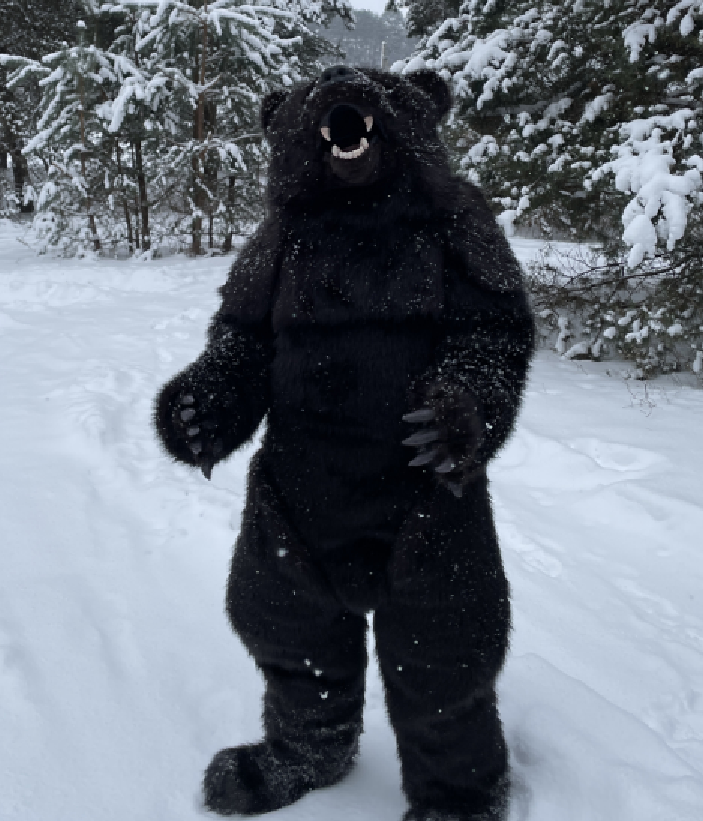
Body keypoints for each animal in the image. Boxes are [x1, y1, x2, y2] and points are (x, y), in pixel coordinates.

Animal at [154, 65, 535, 821]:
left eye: (388, 85)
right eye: (306, 90)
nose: (342, 77)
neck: (358, 211)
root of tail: (357, 579)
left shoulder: (466, 232)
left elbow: (489, 325)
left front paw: (441, 422)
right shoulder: (271, 247)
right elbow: (244, 333)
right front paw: (191, 414)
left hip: (437, 534)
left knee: (442, 660)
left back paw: (453, 805)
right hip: (275, 526)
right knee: (293, 642)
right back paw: (261, 771)